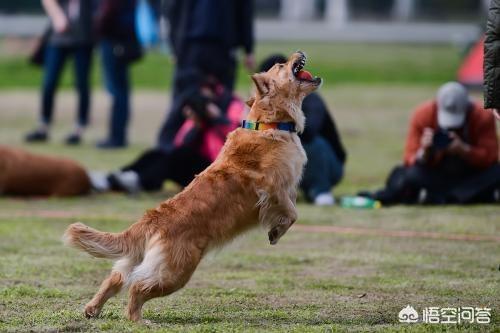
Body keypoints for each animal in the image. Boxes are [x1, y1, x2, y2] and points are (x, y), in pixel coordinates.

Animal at [64, 50, 322, 320]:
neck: (269, 124)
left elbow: (292, 208)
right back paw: (139, 321)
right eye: (281, 65)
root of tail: (149, 220)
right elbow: (292, 212)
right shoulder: (274, 189)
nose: (299, 52)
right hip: (176, 272)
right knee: (137, 287)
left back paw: (92, 309)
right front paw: (276, 232)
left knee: (114, 280)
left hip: (135, 261)